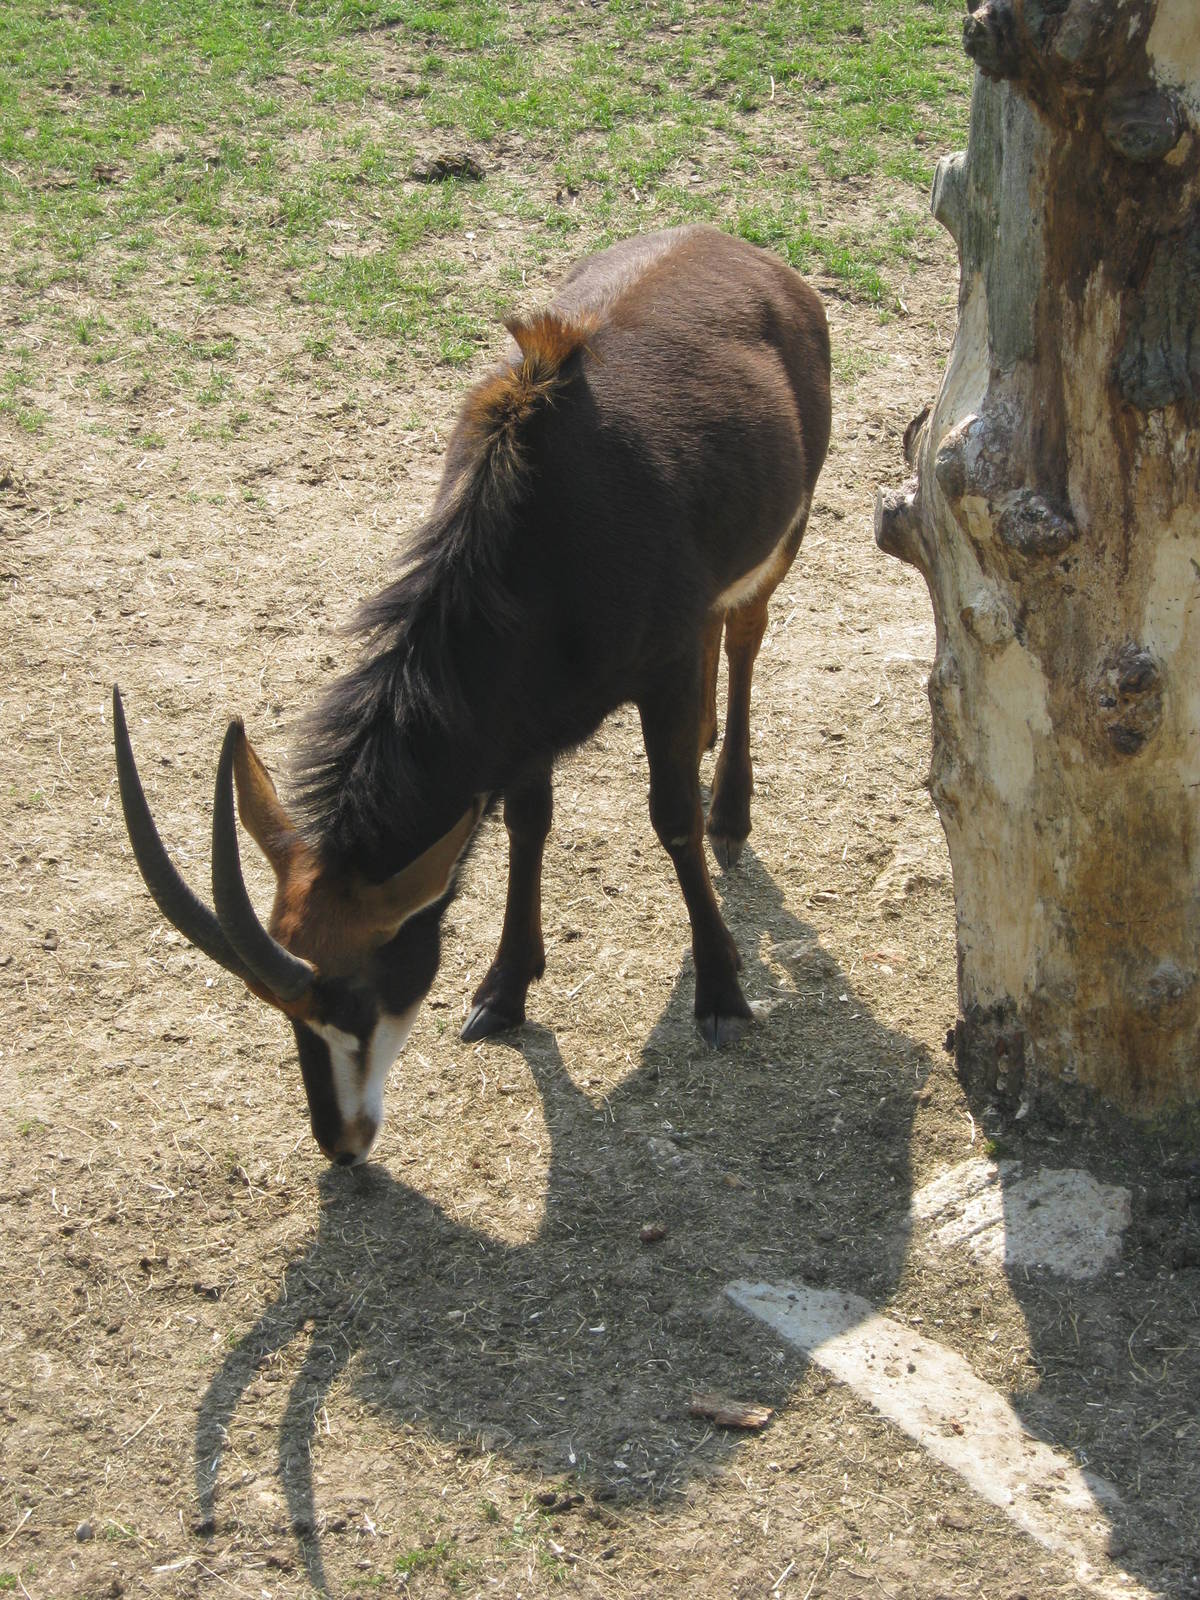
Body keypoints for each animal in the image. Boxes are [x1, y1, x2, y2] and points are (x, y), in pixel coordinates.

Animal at [114, 225, 831, 1166]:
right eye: (284, 1009)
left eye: (356, 996)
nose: (341, 1144)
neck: (538, 537)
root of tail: (746, 252)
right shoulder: (522, 725)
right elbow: (527, 824)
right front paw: (504, 988)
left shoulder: (664, 666)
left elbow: (670, 819)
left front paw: (720, 989)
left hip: (788, 528)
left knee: (744, 633)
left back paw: (733, 812)